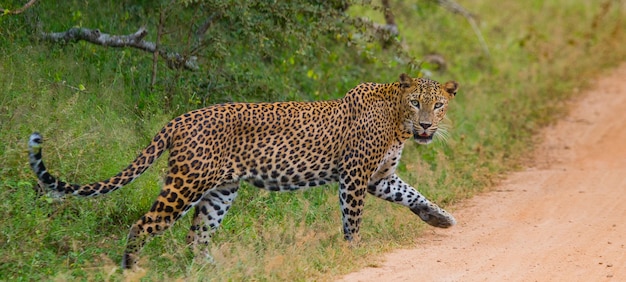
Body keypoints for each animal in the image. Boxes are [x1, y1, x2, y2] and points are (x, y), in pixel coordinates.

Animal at [28, 73, 458, 268]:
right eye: (416, 103)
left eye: (438, 105)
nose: (425, 126)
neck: (397, 121)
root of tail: (179, 119)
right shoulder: (355, 177)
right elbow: (352, 219)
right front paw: (354, 251)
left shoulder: (379, 178)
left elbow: (412, 193)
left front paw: (439, 218)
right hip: (185, 185)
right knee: (144, 225)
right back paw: (130, 270)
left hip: (220, 192)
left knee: (196, 237)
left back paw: (211, 269)